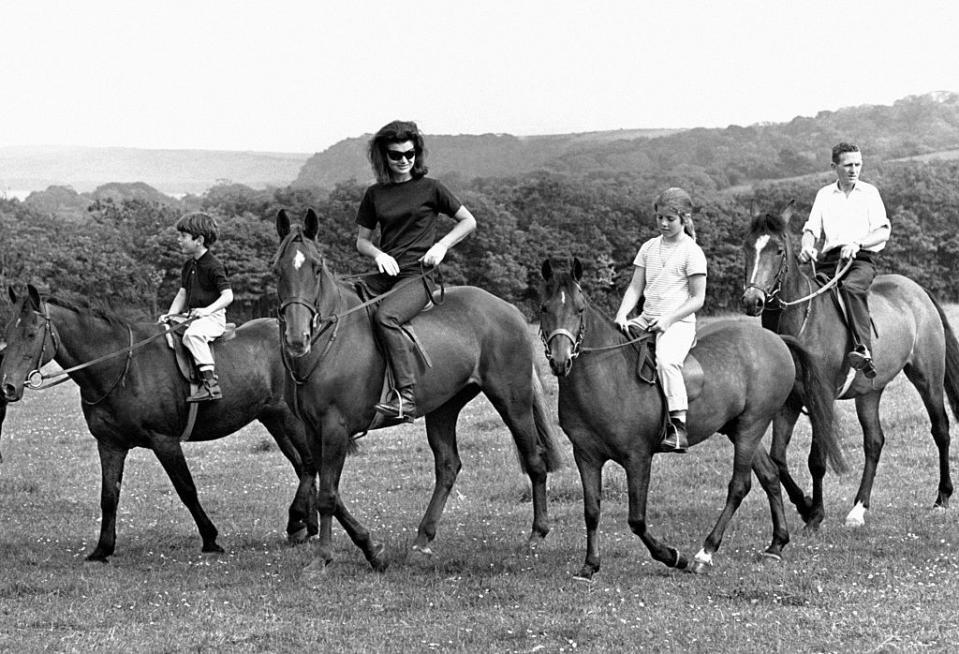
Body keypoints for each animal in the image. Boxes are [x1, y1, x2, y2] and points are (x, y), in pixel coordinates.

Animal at [1, 288, 320, 564]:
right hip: (274, 420)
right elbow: (109, 496)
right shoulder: (110, 445)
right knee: (302, 466)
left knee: (308, 463)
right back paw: (308, 526)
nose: (8, 387)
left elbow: (186, 489)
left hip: (291, 420)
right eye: (7, 334)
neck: (121, 366)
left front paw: (210, 538)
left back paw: (297, 520)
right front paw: (103, 548)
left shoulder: (164, 441)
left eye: (31, 334)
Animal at [272, 210, 564, 576]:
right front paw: (373, 550)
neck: (330, 340)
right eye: (278, 269)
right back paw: (422, 539)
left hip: (512, 400)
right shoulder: (314, 431)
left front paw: (324, 557)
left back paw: (538, 533)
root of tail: (508, 310)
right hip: (444, 407)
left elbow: (327, 496)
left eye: (315, 267)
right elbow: (330, 493)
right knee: (448, 466)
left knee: (534, 459)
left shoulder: (335, 428)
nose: (297, 338)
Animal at [540, 260, 848, 580]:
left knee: (740, 486)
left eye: (579, 309)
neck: (606, 376)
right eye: (544, 308)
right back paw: (777, 544)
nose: (560, 361)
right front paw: (590, 565)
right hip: (739, 429)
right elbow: (591, 511)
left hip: (752, 426)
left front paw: (673, 557)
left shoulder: (637, 458)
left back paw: (705, 552)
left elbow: (636, 519)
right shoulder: (586, 456)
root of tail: (776, 340)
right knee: (770, 476)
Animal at [744, 208, 959, 532]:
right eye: (748, 247)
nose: (752, 301)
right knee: (874, 442)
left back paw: (942, 497)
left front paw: (815, 515)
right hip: (869, 392)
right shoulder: (790, 402)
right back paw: (859, 508)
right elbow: (778, 459)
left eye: (778, 250)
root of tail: (918, 292)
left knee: (941, 430)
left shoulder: (820, 398)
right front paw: (805, 505)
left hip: (927, 379)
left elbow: (816, 461)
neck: (802, 322)